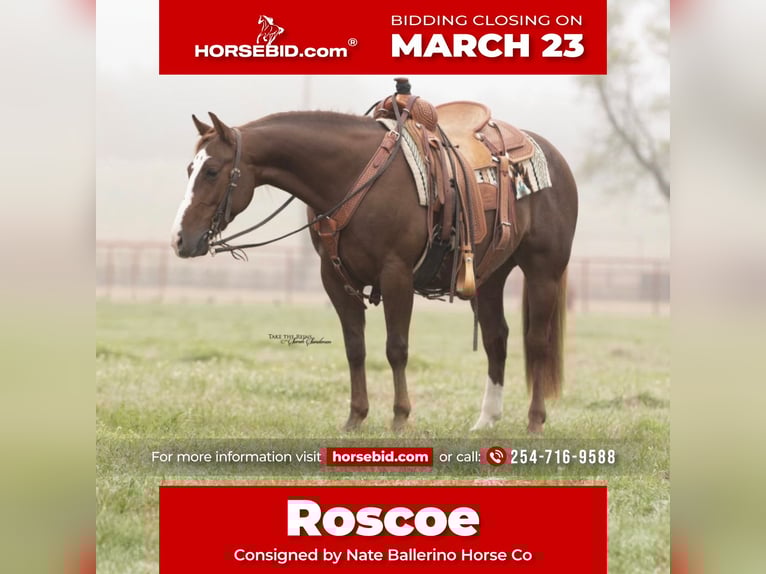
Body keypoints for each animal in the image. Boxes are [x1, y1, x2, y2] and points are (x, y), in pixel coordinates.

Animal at [170, 108, 577, 433]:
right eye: (190, 168)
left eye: (211, 170)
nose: (179, 239)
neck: (356, 176)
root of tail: (553, 156)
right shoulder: (334, 278)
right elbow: (355, 347)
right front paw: (355, 417)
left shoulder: (396, 274)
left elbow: (396, 348)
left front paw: (399, 417)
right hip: (489, 275)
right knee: (497, 339)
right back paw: (486, 420)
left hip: (543, 270)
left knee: (536, 342)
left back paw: (535, 421)